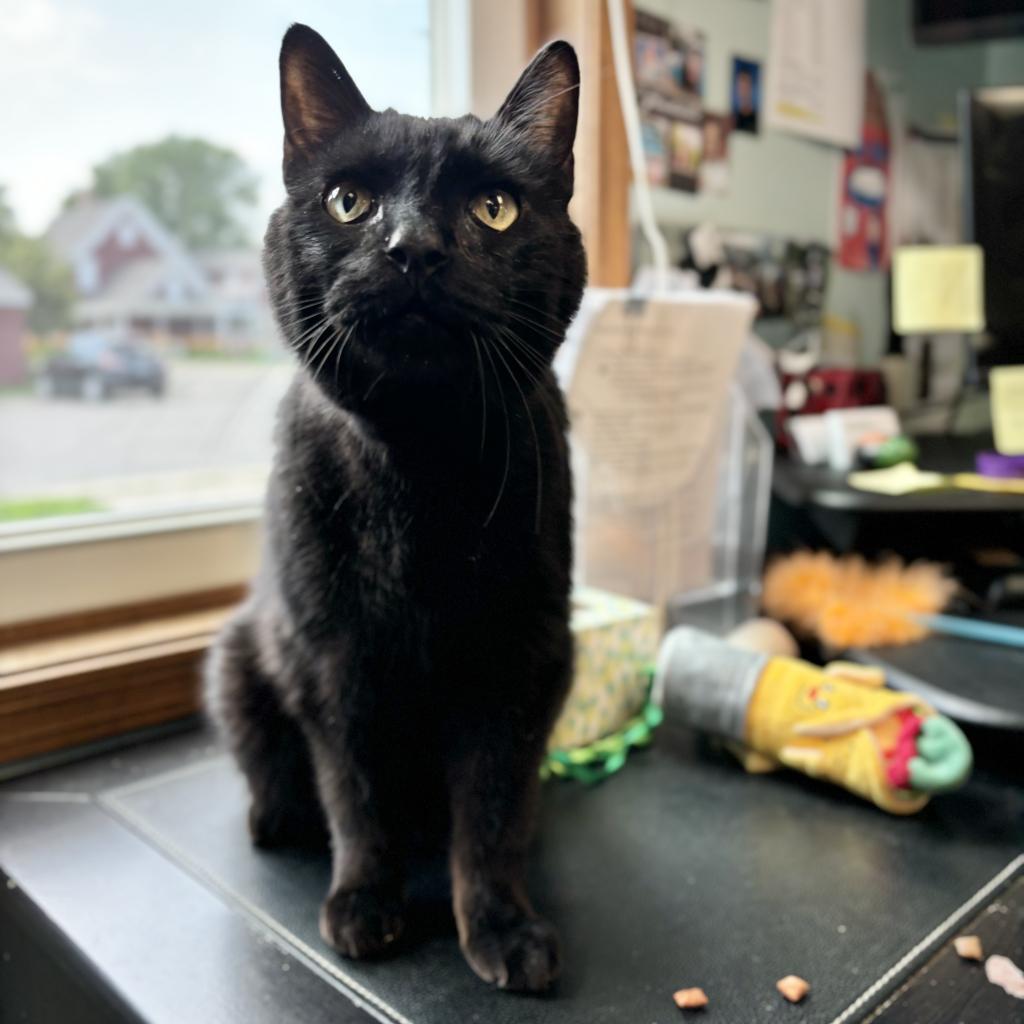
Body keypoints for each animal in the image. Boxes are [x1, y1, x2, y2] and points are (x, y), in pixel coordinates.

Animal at [207, 22, 585, 991]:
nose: (413, 247)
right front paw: (365, 903)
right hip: (241, 656)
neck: (418, 466)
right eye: (350, 201)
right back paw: (275, 821)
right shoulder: (331, 658)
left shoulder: (519, 660)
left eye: (495, 208)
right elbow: (358, 797)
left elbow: (489, 811)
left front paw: (499, 927)